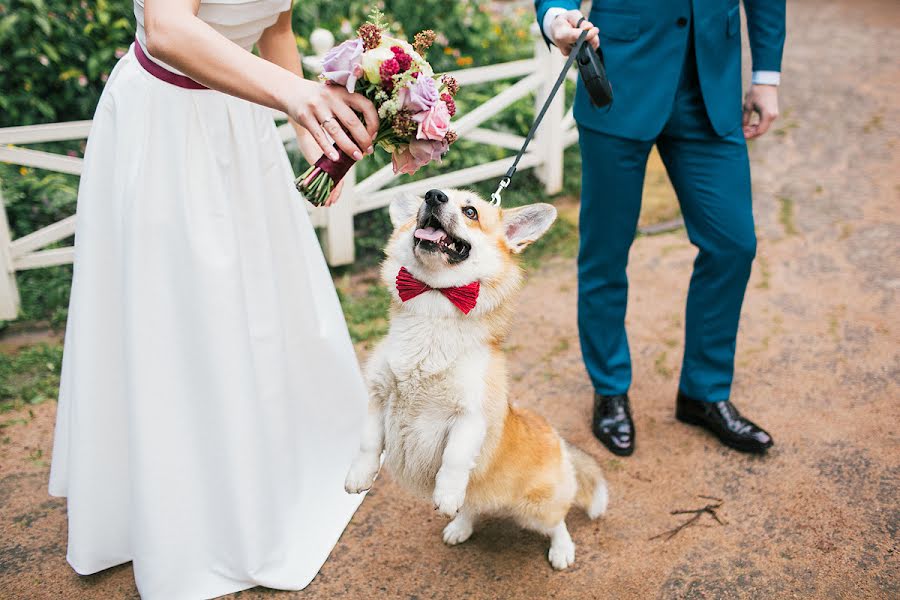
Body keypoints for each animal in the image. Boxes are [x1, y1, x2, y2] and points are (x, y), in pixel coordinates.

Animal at [344, 188, 612, 568]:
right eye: (426, 200)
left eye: (470, 211)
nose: (433, 195)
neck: (433, 310)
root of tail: (561, 444)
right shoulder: (379, 397)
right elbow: (368, 443)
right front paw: (359, 478)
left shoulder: (469, 415)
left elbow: (455, 458)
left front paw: (445, 493)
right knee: (472, 506)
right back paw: (459, 526)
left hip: (536, 508)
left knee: (557, 522)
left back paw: (561, 550)